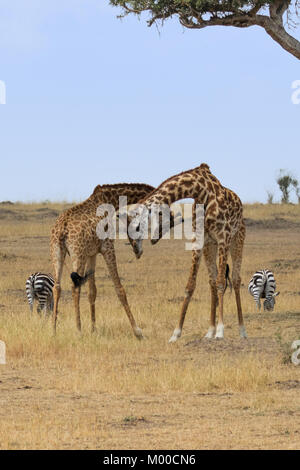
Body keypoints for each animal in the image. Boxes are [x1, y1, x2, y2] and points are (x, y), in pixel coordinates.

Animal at [49, 182, 155, 336]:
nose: (138, 251)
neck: (110, 200)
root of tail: (62, 229)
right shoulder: (107, 247)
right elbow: (119, 289)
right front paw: (138, 332)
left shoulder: (92, 253)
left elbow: (92, 291)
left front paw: (93, 329)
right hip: (78, 254)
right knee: (74, 287)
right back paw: (78, 330)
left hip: (56, 252)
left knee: (57, 287)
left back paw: (53, 331)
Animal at [126, 164, 246, 342]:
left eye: (136, 227)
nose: (136, 251)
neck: (201, 191)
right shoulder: (200, 239)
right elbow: (191, 285)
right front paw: (176, 334)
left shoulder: (223, 237)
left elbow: (221, 283)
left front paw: (220, 331)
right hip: (210, 247)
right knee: (212, 280)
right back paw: (209, 331)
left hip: (237, 240)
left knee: (236, 280)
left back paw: (242, 331)